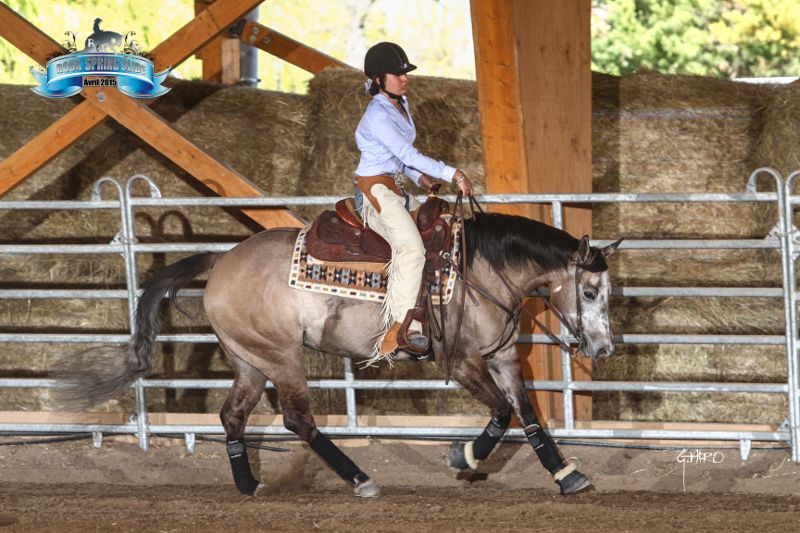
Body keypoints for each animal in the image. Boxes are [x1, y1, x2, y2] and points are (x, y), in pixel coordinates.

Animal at [56, 212, 620, 498]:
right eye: (590, 291)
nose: (603, 348)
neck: (480, 270)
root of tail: (222, 260)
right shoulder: (462, 362)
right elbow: (502, 413)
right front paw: (463, 456)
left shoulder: (502, 360)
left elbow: (529, 416)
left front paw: (568, 476)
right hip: (281, 356)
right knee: (297, 419)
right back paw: (360, 479)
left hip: (249, 360)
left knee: (233, 415)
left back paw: (250, 484)